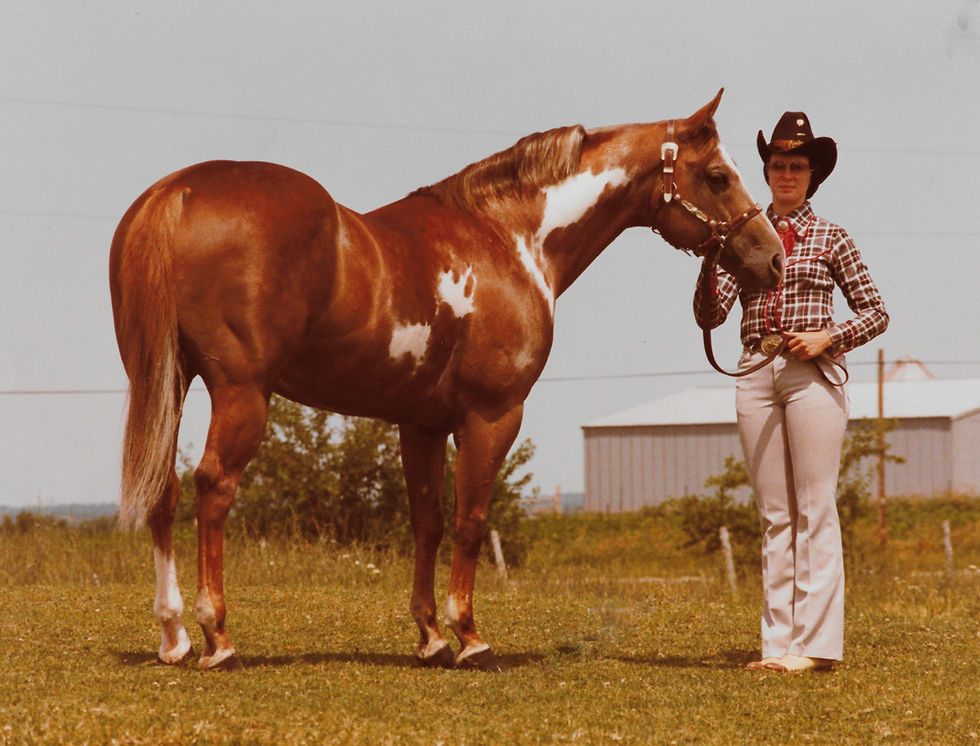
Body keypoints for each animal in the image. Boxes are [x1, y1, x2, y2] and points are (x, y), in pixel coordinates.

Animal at [109, 89, 782, 672]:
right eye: (718, 176)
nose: (771, 257)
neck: (510, 238)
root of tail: (177, 192)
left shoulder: (421, 424)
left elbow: (427, 520)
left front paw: (430, 636)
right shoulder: (492, 415)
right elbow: (471, 518)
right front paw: (470, 637)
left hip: (166, 381)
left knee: (164, 490)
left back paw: (173, 636)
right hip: (241, 393)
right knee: (213, 487)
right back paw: (217, 637)